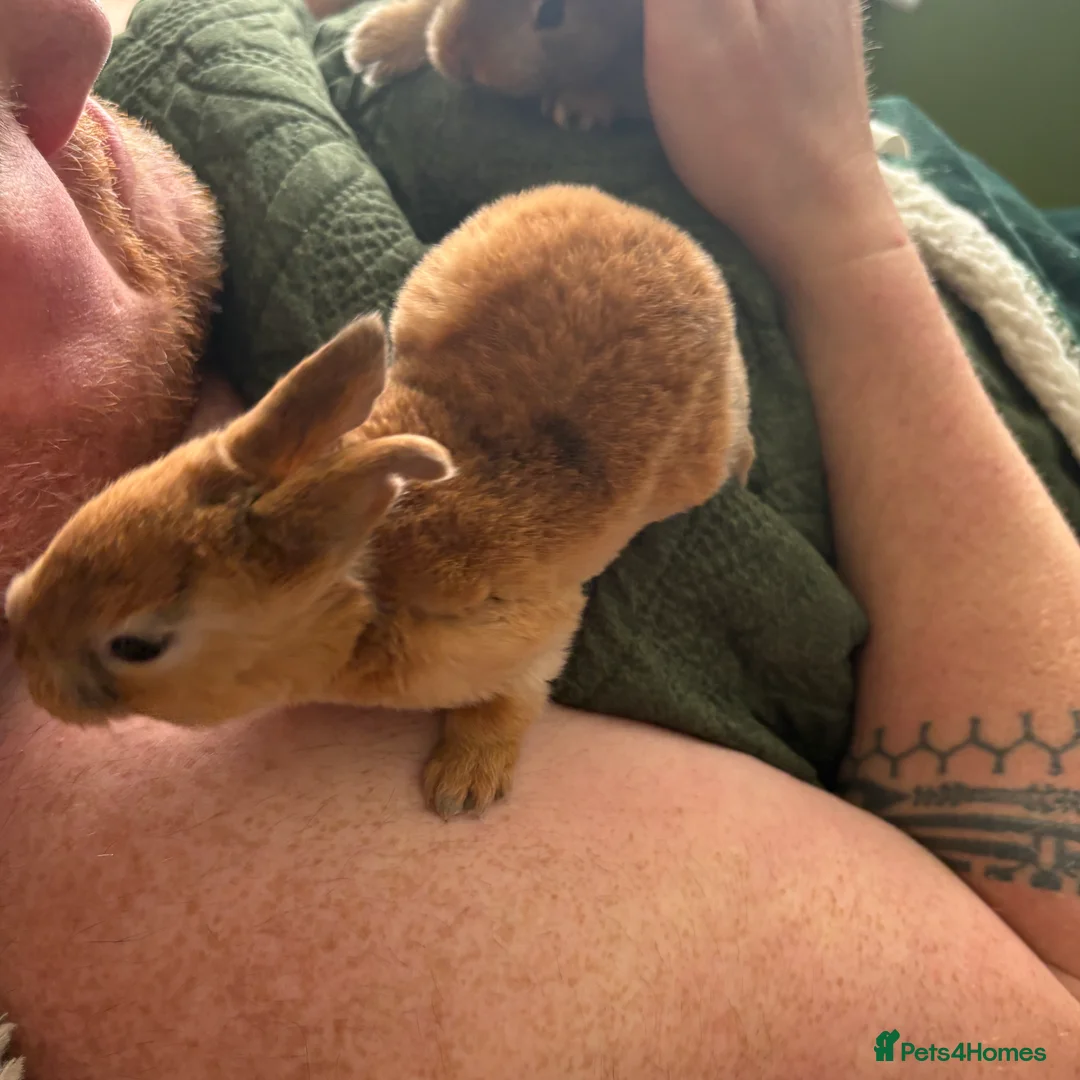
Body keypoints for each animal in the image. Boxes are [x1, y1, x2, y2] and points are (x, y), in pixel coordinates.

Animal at [5, 183, 753, 819]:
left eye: (135, 646)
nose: (23, 656)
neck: (363, 592)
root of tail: (656, 228)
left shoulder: (530, 635)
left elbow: (515, 698)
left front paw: (462, 786)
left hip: (698, 460)